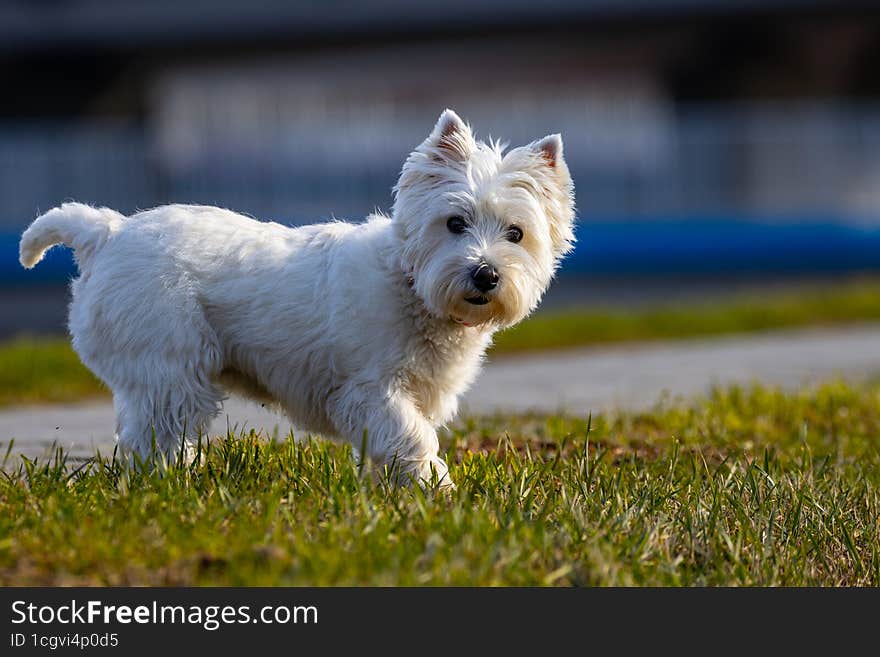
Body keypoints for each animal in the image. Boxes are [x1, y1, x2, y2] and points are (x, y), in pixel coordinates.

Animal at [20, 109, 576, 486]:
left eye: (516, 233)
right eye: (455, 222)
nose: (485, 275)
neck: (412, 286)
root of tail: (106, 232)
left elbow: (392, 446)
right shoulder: (370, 390)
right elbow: (412, 437)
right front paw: (436, 489)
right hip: (170, 368)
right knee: (149, 438)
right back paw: (165, 486)